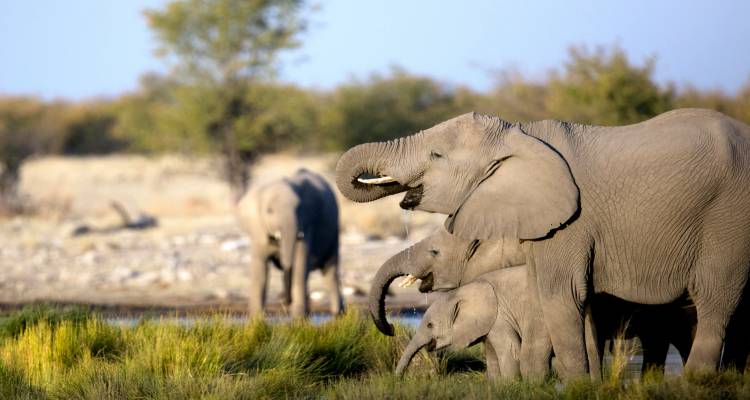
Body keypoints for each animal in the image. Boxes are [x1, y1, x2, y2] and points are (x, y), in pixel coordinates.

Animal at [237, 168, 343, 318]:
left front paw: (298, 318)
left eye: (298, 209)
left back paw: (338, 315)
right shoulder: (259, 231)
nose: (284, 300)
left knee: (330, 272)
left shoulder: (306, 224)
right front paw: (257, 318)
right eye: (269, 211)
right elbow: (260, 270)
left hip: (334, 232)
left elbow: (299, 264)